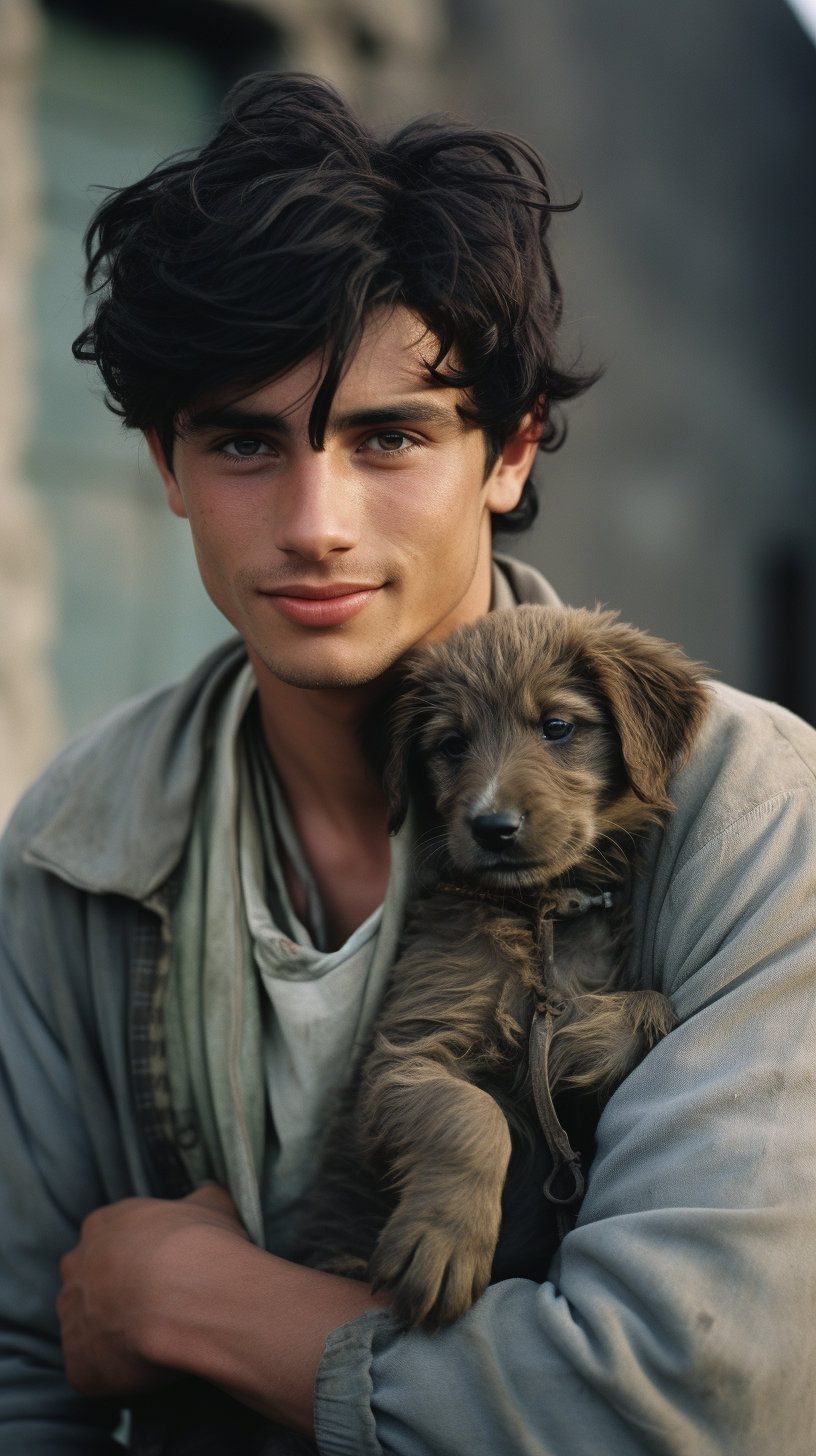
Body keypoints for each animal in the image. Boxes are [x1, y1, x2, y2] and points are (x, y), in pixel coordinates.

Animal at [298, 602, 708, 1333]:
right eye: (452, 744)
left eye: (557, 727)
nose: (493, 826)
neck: (534, 912)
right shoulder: (406, 1053)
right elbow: (470, 1115)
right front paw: (444, 1243)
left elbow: (651, 1005)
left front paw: (571, 1041)